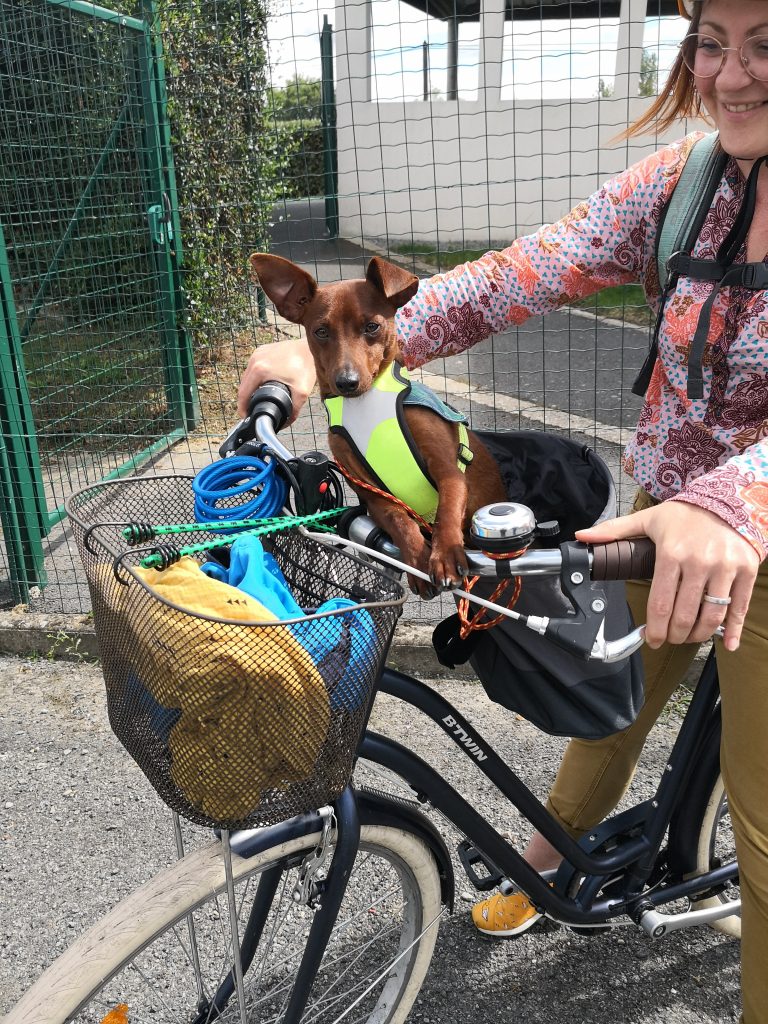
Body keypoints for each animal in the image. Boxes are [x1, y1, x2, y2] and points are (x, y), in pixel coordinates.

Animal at [249, 250, 507, 598]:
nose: (347, 382)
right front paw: (417, 560)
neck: (367, 405)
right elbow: (399, 519)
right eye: (320, 331)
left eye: (372, 326)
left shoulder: (449, 471)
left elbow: (447, 508)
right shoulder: (372, 493)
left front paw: (445, 555)